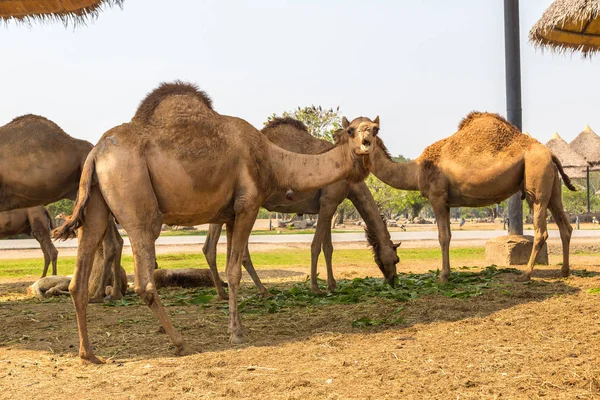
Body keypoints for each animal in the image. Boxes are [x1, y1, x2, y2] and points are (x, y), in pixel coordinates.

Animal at [54, 80, 378, 362]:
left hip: (96, 204)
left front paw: (238, 324)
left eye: (375, 129)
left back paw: (88, 354)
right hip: (137, 201)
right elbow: (233, 271)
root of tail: (96, 153)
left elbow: (233, 265)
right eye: (351, 130)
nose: (365, 142)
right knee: (144, 279)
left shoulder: (231, 213)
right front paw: (236, 333)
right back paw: (180, 343)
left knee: (79, 278)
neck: (272, 159)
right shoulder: (248, 204)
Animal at [204, 115, 400, 296]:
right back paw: (261, 290)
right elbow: (316, 246)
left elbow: (328, 248)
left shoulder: (326, 206)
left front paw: (332, 285)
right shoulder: (329, 202)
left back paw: (224, 293)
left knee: (210, 247)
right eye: (396, 259)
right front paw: (315, 287)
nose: (392, 280)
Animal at [368, 111, 576, 282]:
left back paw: (526, 274)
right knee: (565, 226)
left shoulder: (437, 196)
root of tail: (551, 153)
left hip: (536, 178)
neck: (416, 169)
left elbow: (443, 237)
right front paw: (447, 273)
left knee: (541, 230)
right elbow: (448, 235)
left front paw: (443, 276)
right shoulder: (447, 202)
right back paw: (564, 271)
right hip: (552, 185)